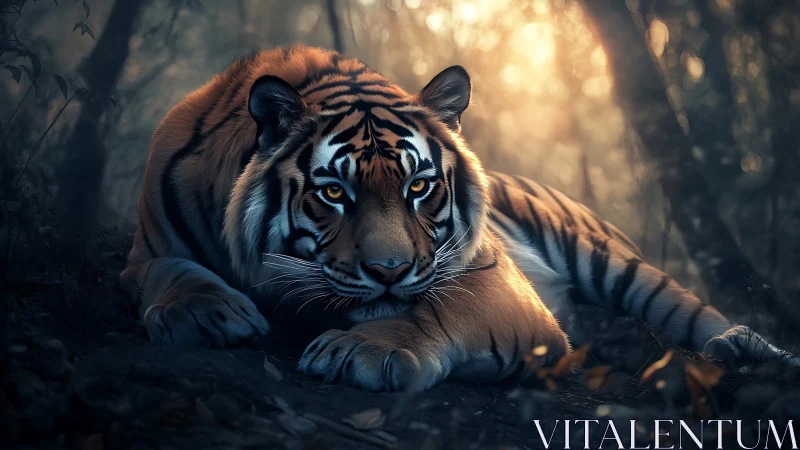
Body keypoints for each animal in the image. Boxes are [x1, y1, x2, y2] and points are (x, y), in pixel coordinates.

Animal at [121, 45, 796, 392]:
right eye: (334, 192)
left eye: (419, 186)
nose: (389, 272)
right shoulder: (146, 251)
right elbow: (171, 272)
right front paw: (205, 312)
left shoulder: (492, 278)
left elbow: (439, 310)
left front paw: (364, 349)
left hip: (610, 260)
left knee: (689, 308)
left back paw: (747, 349)